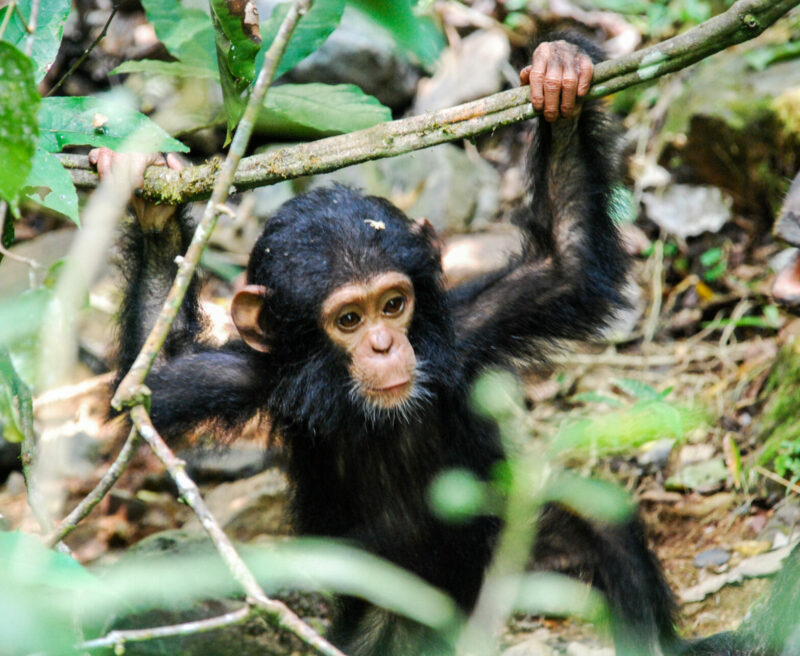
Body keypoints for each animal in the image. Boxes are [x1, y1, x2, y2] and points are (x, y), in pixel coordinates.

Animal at [97, 35, 699, 656]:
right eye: (348, 319)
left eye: (392, 305)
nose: (385, 345)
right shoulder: (252, 378)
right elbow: (160, 376)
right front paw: (153, 208)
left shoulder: (468, 331)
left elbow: (566, 263)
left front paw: (560, 80)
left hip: (515, 548)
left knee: (602, 532)